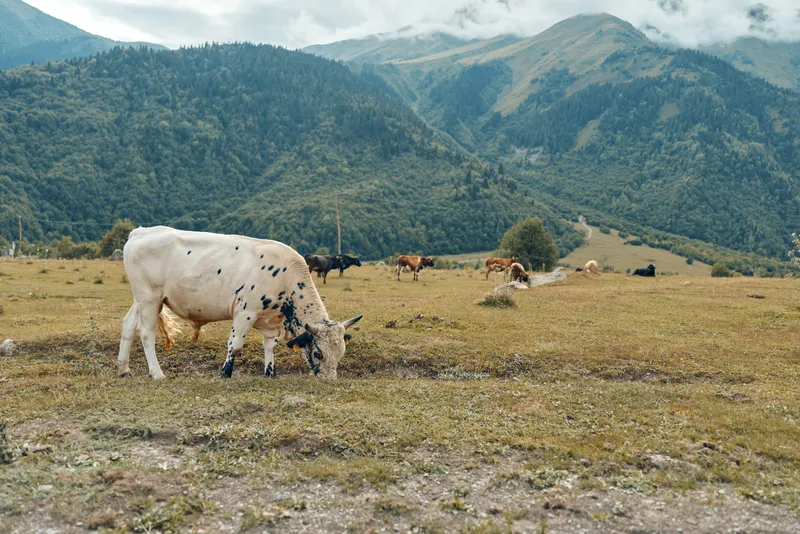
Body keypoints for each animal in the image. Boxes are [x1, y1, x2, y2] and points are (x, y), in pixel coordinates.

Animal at [118, 226, 362, 381]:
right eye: (318, 353)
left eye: (341, 353)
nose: (329, 379)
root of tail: (141, 231)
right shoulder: (246, 313)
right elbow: (235, 345)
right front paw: (226, 373)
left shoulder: (269, 320)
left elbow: (269, 346)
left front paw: (270, 373)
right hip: (150, 299)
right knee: (146, 333)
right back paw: (157, 374)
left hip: (142, 299)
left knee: (128, 326)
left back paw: (124, 369)